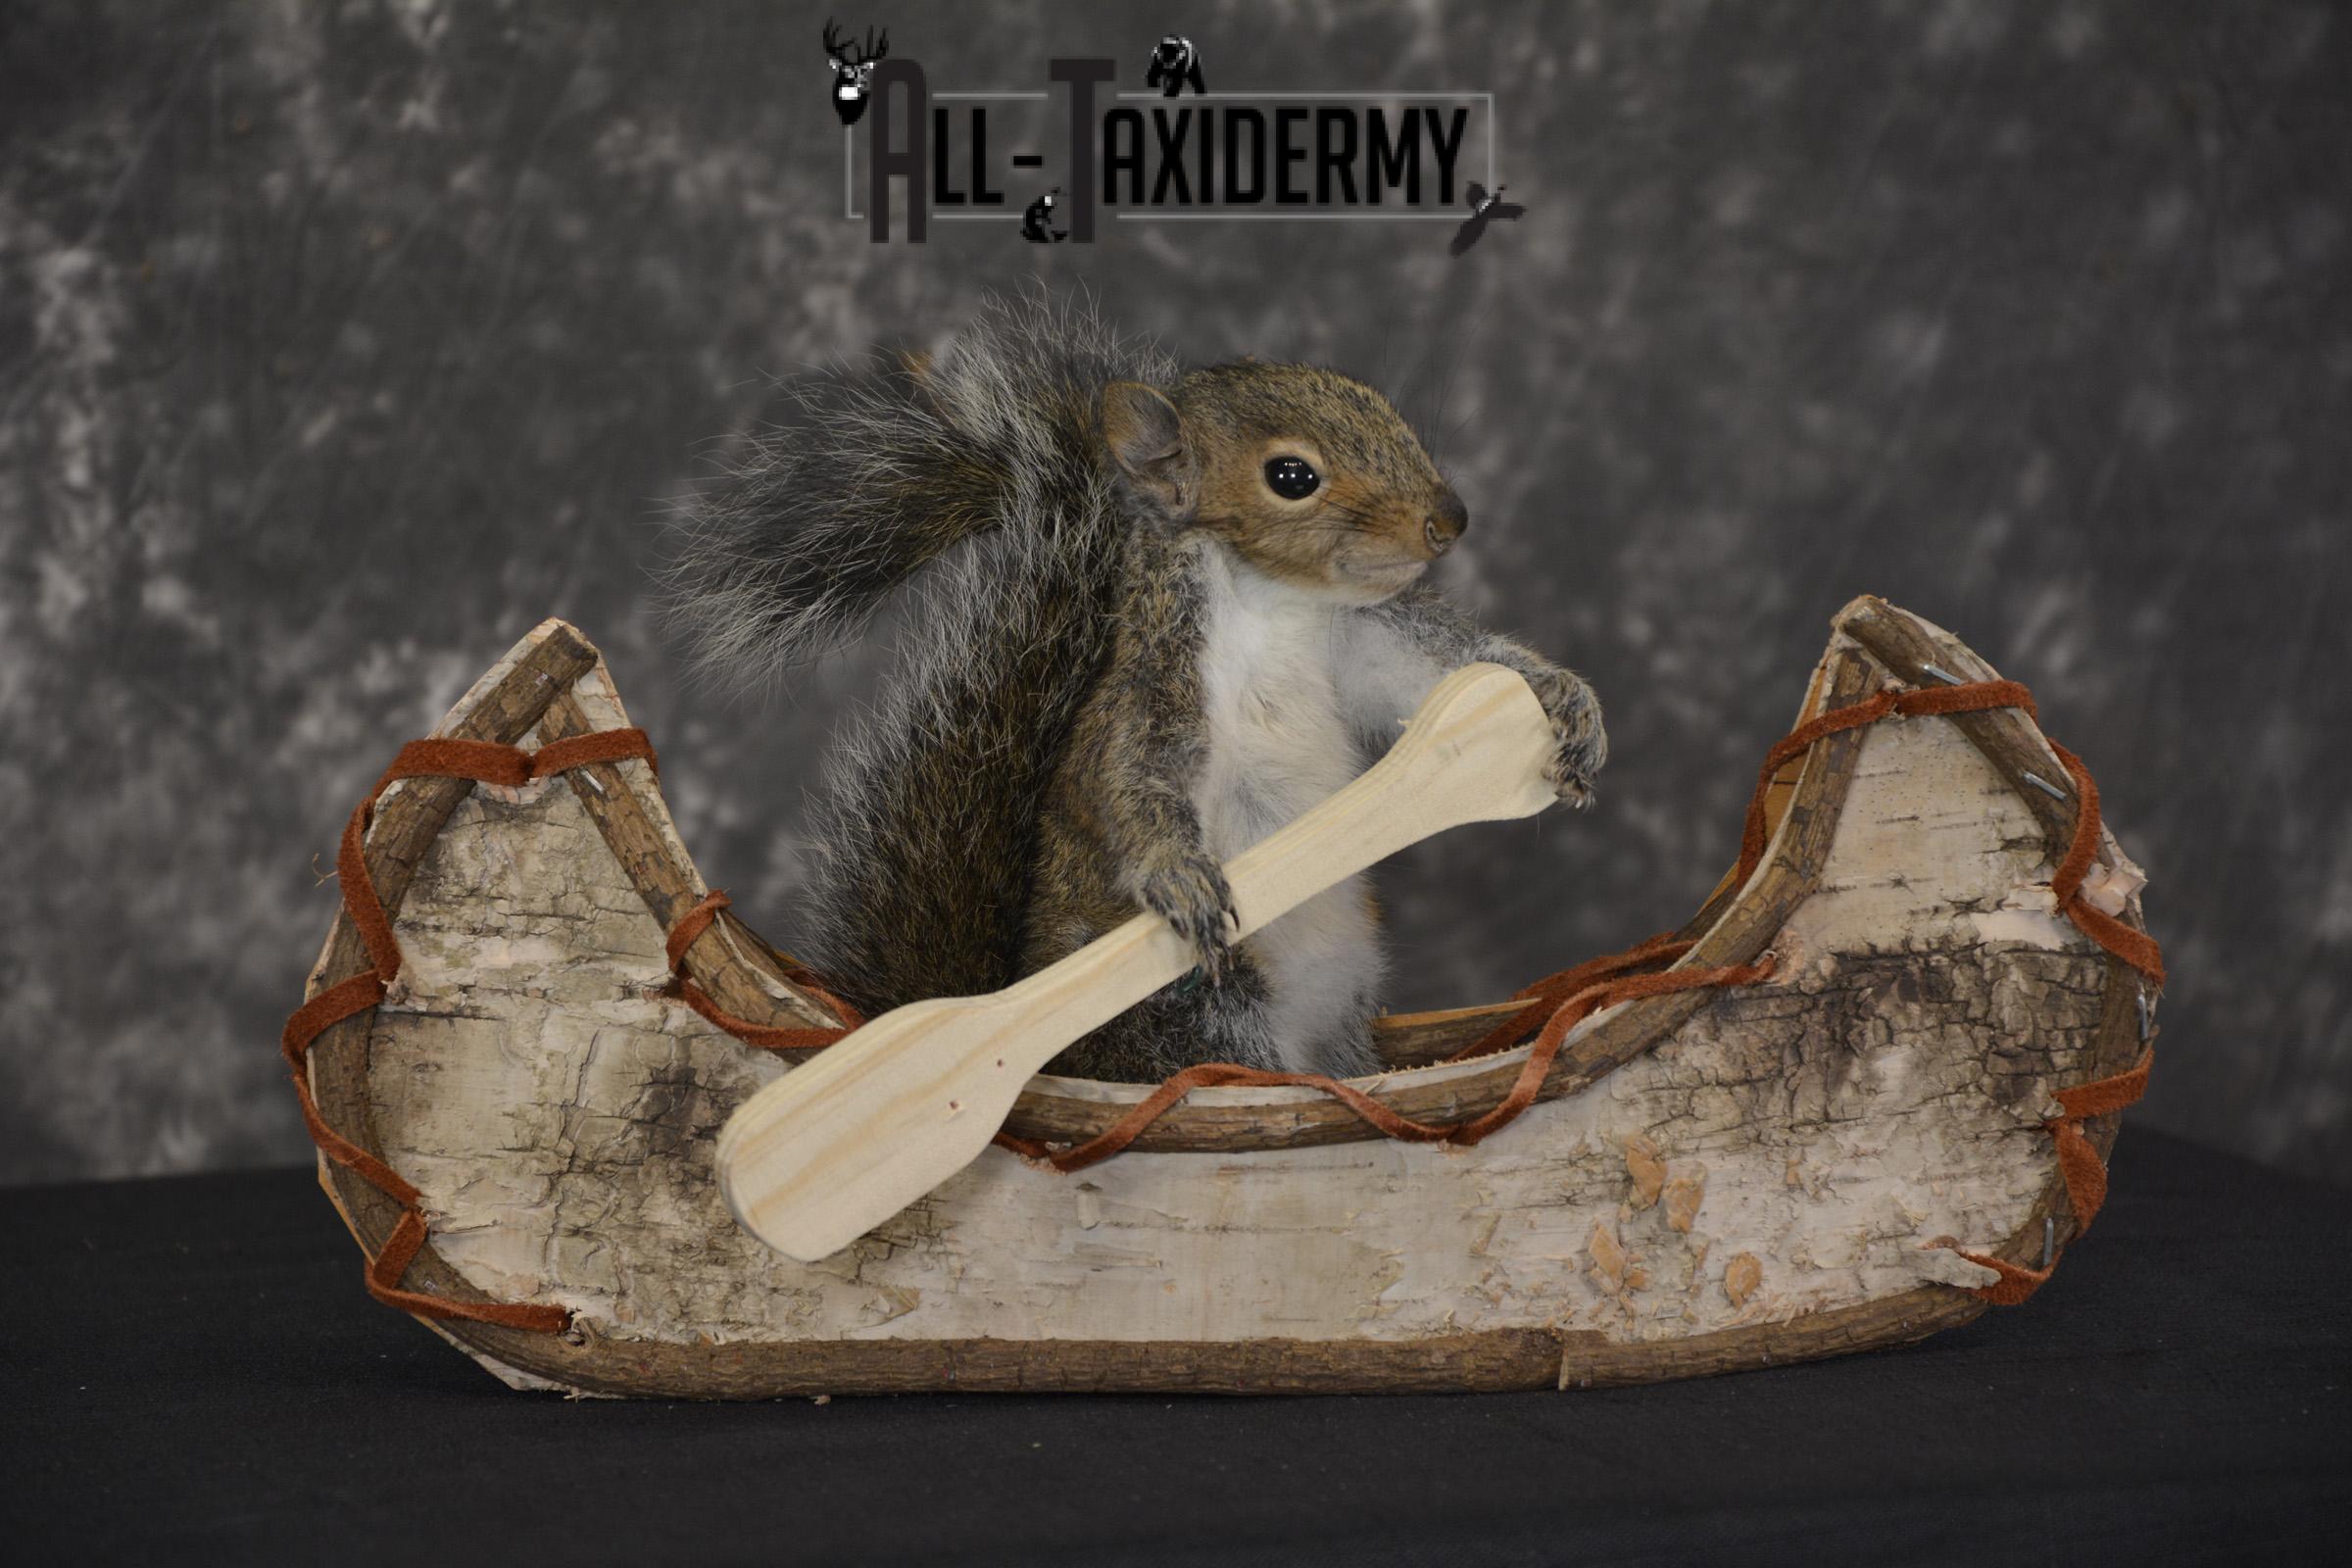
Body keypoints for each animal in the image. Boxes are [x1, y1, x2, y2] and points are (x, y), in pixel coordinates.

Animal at [664, 294, 1605, 1083]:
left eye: (1377, 404)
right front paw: (1178, 873)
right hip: (1198, 1011)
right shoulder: (1159, 685)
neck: (1279, 613)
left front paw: (1564, 700)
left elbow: (1436, 673)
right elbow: (1134, 780)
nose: (1450, 520)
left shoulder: (1355, 641)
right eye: (1292, 476)